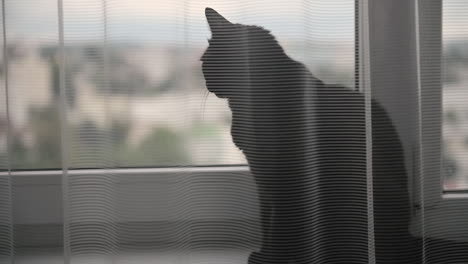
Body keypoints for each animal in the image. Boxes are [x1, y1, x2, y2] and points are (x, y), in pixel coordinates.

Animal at [201, 7, 420, 264]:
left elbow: (278, 223)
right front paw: (265, 252)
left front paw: (271, 256)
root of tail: (408, 238)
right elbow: (266, 218)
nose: (206, 80)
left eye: (207, 60)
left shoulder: (286, 177)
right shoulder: (261, 175)